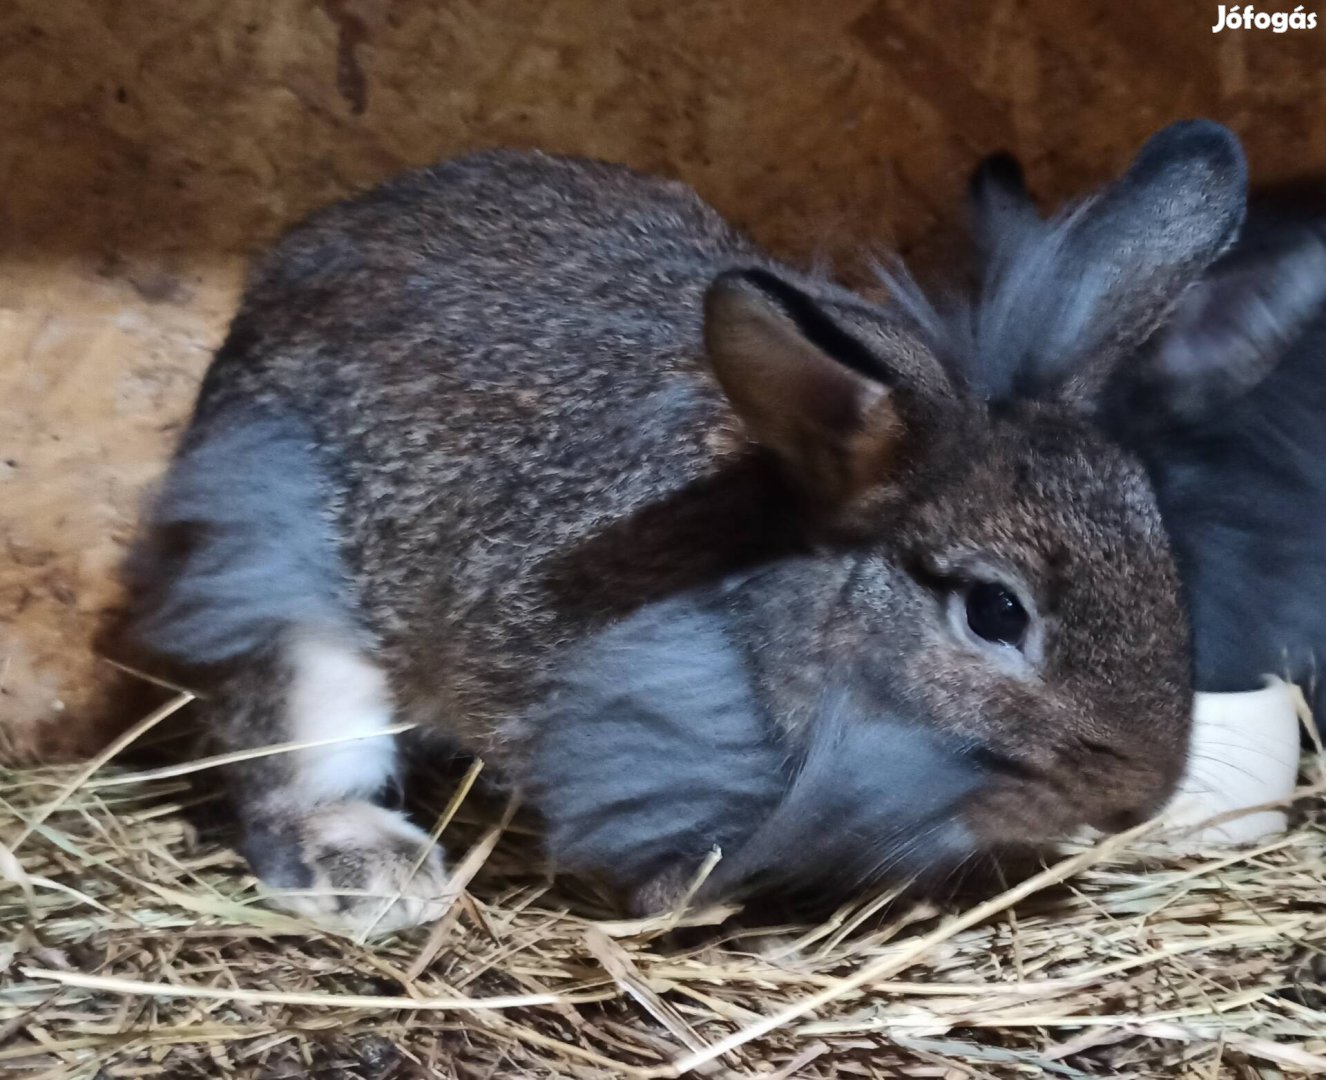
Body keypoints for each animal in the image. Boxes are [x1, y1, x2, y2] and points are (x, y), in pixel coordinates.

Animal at [121, 122, 1241, 934]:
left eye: (1160, 546)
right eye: (995, 612)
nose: (1140, 797)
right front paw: (687, 907)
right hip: (287, 600)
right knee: (278, 770)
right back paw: (375, 875)